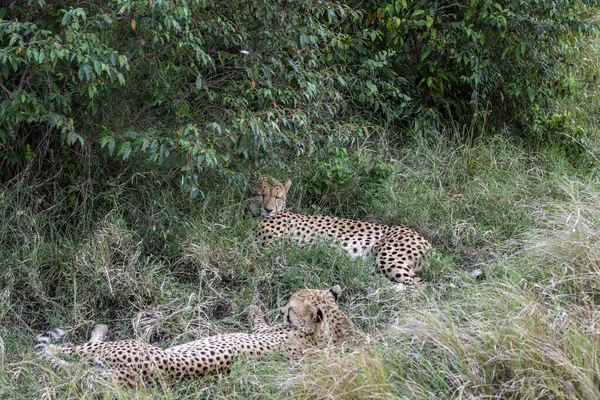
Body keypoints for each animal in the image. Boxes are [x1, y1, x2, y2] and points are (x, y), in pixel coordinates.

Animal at [35, 286, 350, 386]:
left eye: (292, 307)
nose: (283, 309)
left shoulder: (263, 331)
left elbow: (257, 320)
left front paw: (253, 305)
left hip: (116, 349)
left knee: (62, 353)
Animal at [248, 177, 432, 288]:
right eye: (261, 194)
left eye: (277, 197)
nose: (268, 209)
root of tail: (425, 241)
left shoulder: (274, 248)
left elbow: (250, 257)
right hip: (371, 265)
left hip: (388, 257)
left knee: (421, 286)